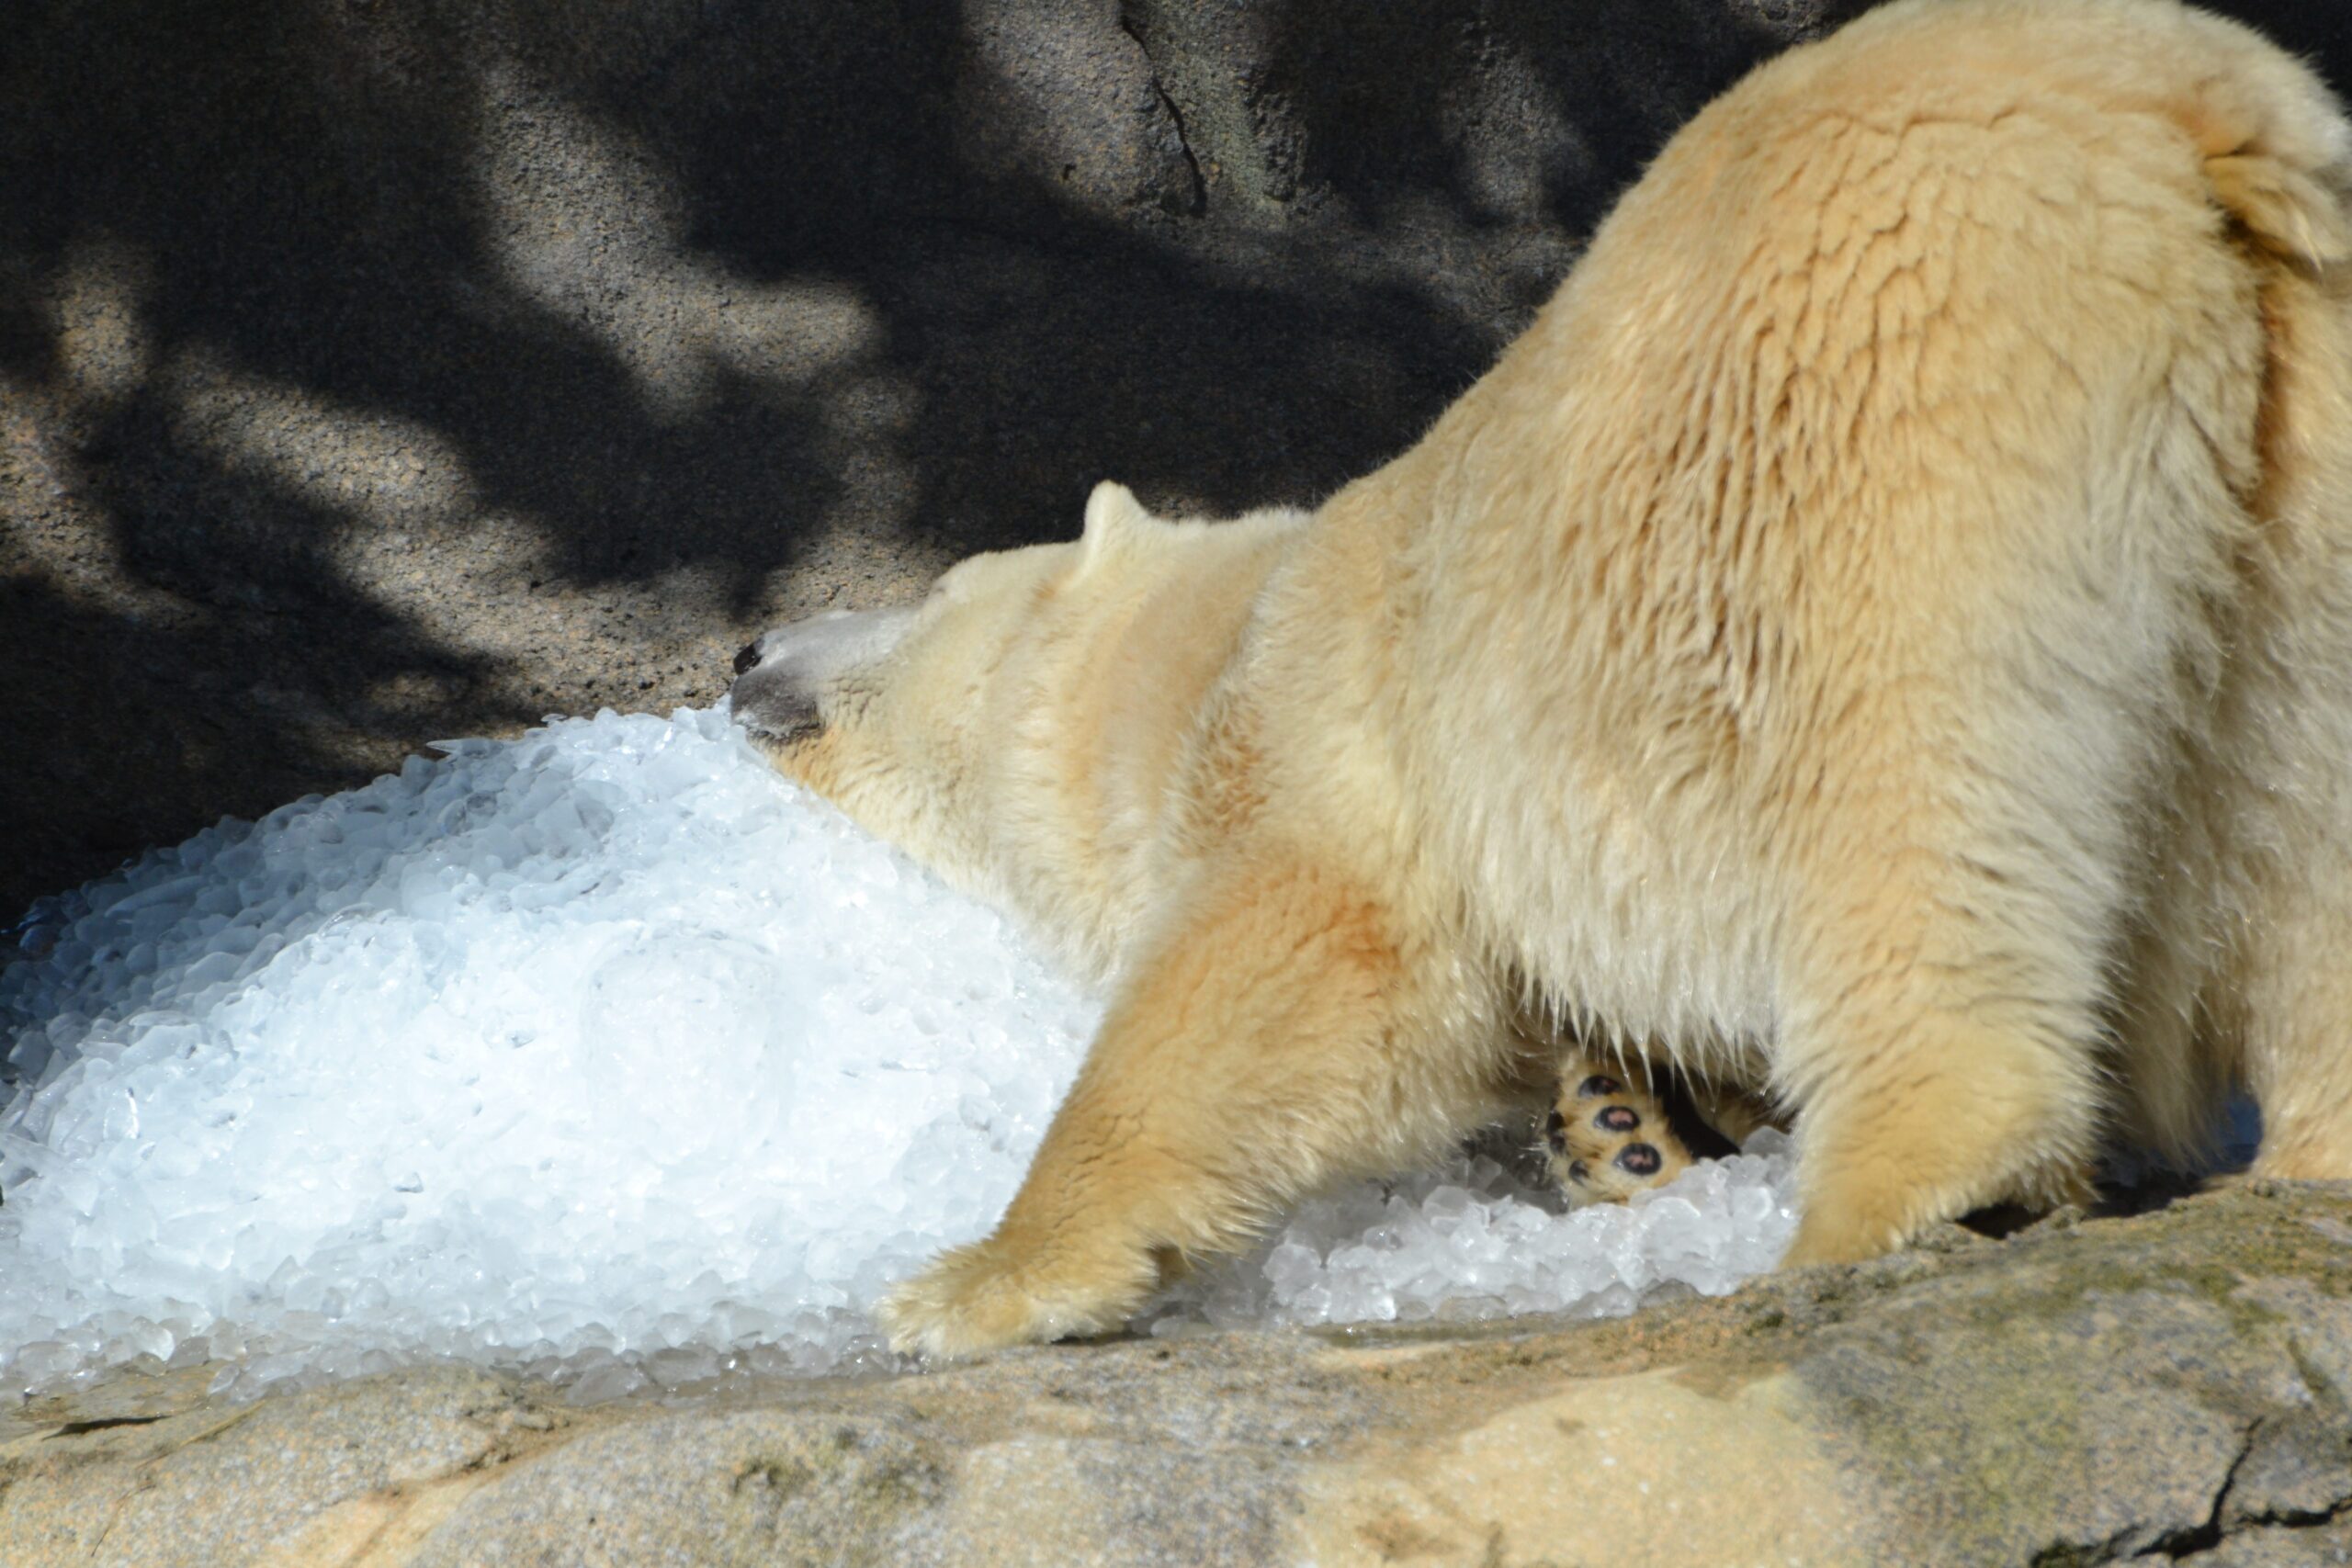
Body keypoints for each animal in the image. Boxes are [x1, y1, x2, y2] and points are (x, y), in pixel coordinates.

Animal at [730, 0, 2352, 1359]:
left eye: (925, 590)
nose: (744, 649)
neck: (1236, 628)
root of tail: (2180, 114)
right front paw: (1620, 1120)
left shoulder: (1332, 747)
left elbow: (1289, 972)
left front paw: (976, 1280)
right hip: (2305, 467)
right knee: (2302, 845)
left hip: (1895, 411)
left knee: (1900, 790)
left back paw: (1893, 1201)